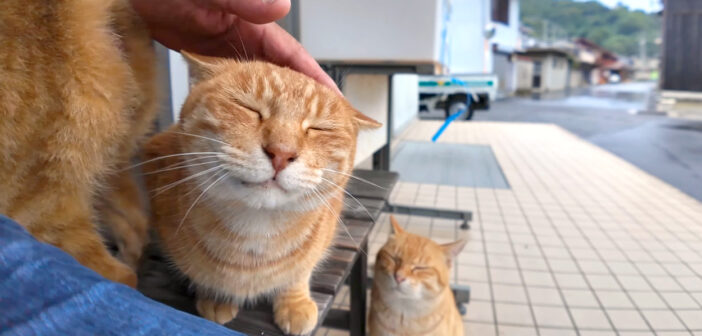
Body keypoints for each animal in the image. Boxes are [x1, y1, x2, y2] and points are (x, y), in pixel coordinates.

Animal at [142, 51, 382, 334]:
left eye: (318, 128)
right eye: (249, 108)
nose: (281, 153)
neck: (257, 232)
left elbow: (299, 272)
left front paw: (294, 302)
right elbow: (201, 274)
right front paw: (215, 296)